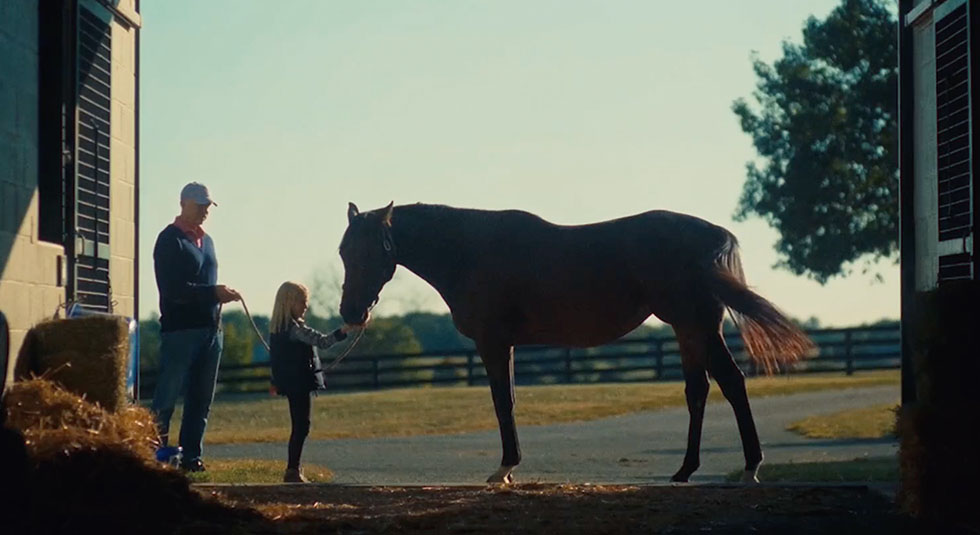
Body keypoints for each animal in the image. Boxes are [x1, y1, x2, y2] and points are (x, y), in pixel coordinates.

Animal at [338, 202, 812, 484]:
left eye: (369, 251)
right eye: (344, 252)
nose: (350, 313)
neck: (470, 252)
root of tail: (714, 234)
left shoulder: (493, 342)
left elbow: (502, 402)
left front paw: (504, 469)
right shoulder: (505, 345)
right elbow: (508, 400)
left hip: (695, 326)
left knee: (731, 383)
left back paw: (749, 467)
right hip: (689, 329)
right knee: (700, 390)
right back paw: (685, 470)